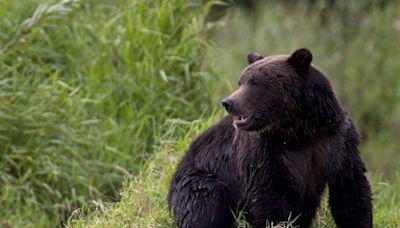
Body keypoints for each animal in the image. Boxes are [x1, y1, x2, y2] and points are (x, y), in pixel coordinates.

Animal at [167, 47, 374, 226]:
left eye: (254, 82)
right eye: (241, 81)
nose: (228, 102)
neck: (299, 131)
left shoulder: (336, 141)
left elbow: (350, 192)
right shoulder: (264, 151)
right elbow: (268, 197)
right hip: (200, 179)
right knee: (205, 201)